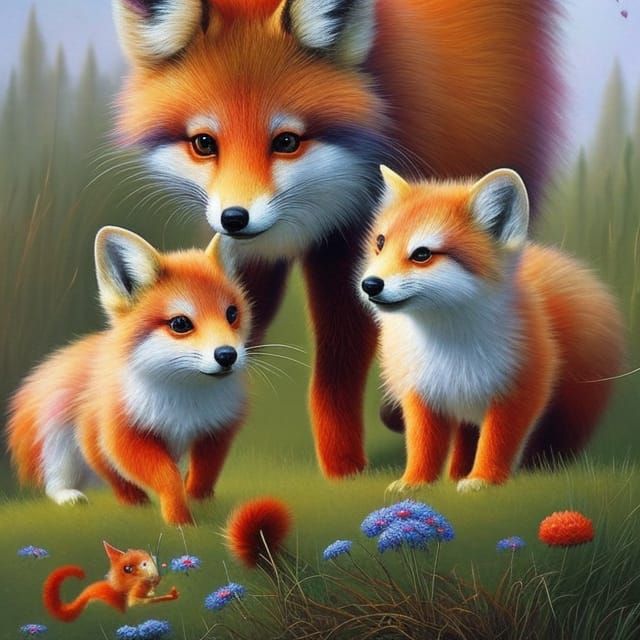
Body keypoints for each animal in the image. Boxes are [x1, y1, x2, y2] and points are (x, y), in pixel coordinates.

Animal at [8, 227, 250, 524]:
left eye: (232, 314)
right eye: (180, 323)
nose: (227, 355)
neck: (184, 405)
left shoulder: (216, 431)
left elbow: (202, 477)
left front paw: (198, 505)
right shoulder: (107, 433)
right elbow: (159, 478)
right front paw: (175, 519)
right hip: (58, 445)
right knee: (56, 483)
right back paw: (70, 497)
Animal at [111, 0, 561, 478]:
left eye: (286, 141)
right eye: (203, 143)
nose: (234, 218)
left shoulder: (350, 251)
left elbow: (337, 373)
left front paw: (343, 467)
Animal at [360, 166, 624, 492]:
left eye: (422, 254)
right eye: (380, 242)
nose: (370, 285)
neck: (450, 350)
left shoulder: (517, 392)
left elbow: (497, 443)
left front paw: (484, 480)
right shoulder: (422, 395)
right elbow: (423, 446)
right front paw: (415, 482)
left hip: (572, 411)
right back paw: (456, 474)